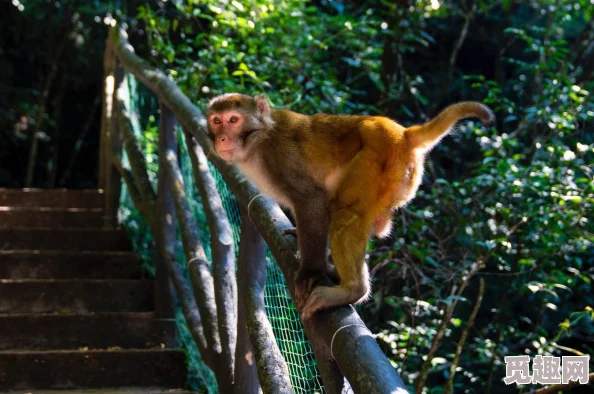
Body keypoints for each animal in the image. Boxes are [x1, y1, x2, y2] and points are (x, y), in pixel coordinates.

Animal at [204, 93, 490, 320]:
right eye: (216, 121)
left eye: (233, 120)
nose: (222, 139)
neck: (257, 141)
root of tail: (402, 134)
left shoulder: (278, 153)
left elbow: (311, 198)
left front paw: (311, 272)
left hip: (374, 162)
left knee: (345, 212)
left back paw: (352, 289)